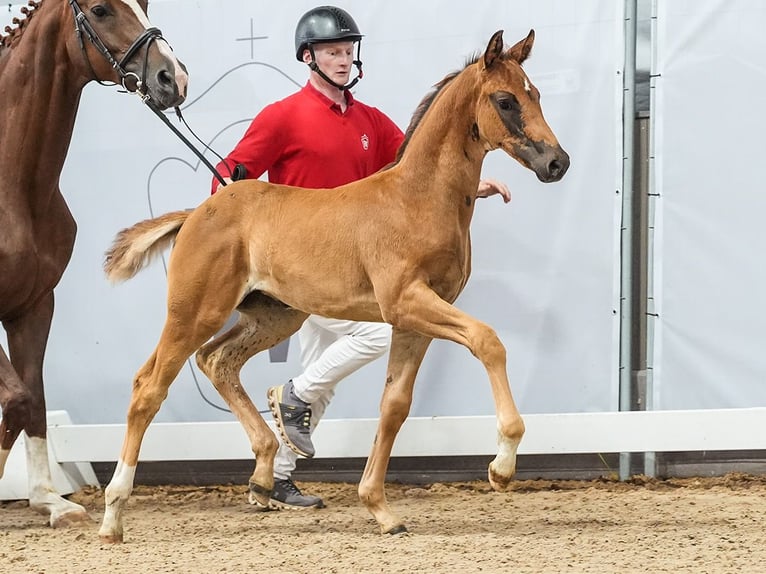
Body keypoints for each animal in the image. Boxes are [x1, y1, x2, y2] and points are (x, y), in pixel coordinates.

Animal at [0, 0, 188, 528]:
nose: (172, 77)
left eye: (146, 6)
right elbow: (16, 400)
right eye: (101, 9)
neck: (12, 187)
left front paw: (49, 501)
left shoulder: (34, 307)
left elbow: (31, 402)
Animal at [97, 29, 568, 544]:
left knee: (217, 360)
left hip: (274, 316)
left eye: (537, 95)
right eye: (505, 100)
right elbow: (488, 341)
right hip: (194, 312)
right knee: (149, 388)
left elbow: (395, 405)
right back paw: (113, 516)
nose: (557, 162)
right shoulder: (406, 302)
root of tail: (196, 213)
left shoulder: (413, 321)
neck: (418, 199)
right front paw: (501, 466)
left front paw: (380, 509)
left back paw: (263, 476)